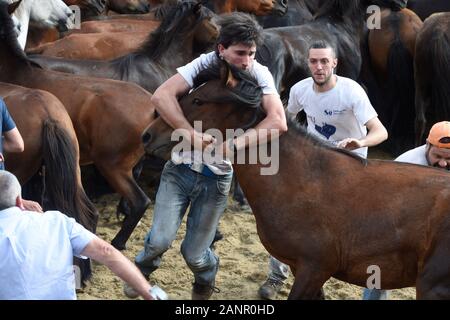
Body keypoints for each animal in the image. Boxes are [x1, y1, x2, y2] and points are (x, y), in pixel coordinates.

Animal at [142, 60, 450, 300]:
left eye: (198, 100)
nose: (147, 135)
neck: (303, 180)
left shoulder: (314, 268)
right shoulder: (306, 269)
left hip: (432, 287)